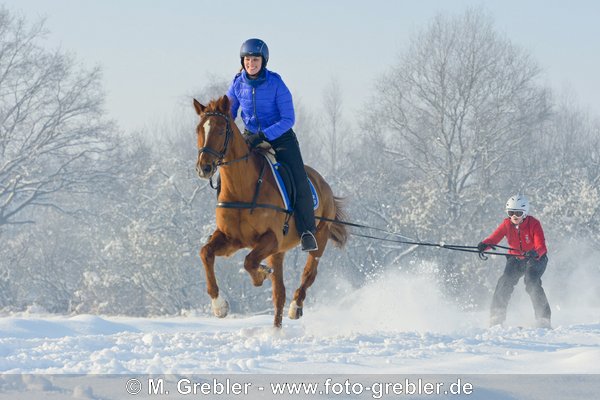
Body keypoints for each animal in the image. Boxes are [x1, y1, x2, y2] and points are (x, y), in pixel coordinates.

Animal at [195, 95, 350, 326]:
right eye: (199, 129)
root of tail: (325, 186)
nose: (203, 168)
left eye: (221, 130)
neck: (243, 189)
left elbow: (249, 261)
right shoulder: (232, 240)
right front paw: (219, 306)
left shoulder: (271, 238)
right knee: (279, 294)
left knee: (308, 274)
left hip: (318, 238)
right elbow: (206, 253)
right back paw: (275, 330)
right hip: (278, 252)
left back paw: (295, 307)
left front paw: (261, 275)